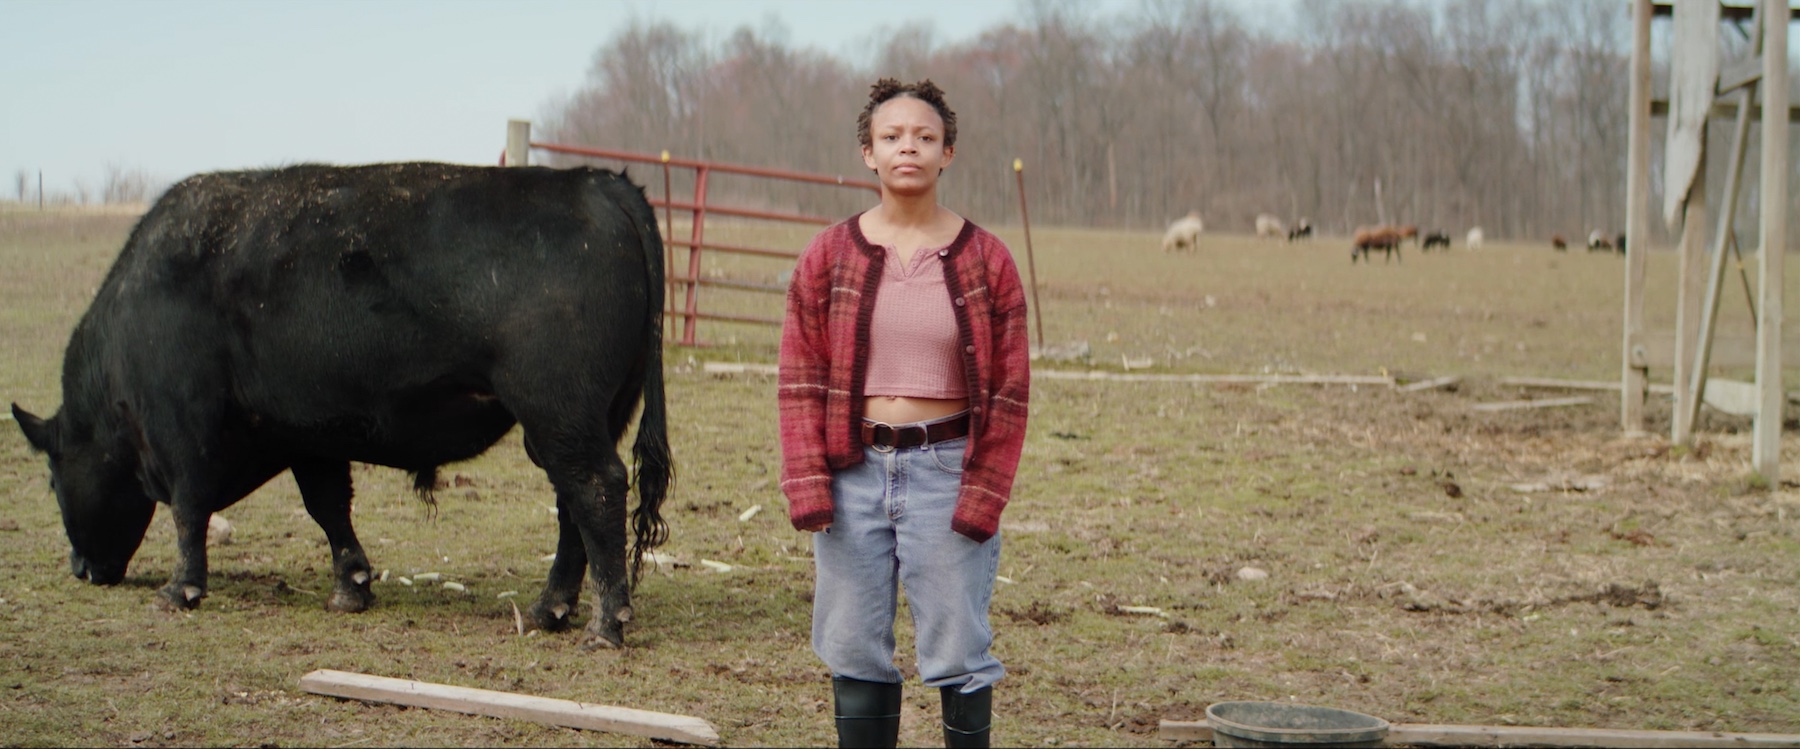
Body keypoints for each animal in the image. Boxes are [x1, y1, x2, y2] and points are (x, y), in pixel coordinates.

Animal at [12, 162, 676, 648]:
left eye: (51, 480)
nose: (79, 568)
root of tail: (599, 180)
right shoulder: (307, 433)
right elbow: (328, 505)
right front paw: (352, 587)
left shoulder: (184, 428)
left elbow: (188, 509)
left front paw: (180, 591)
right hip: (576, 422)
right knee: (573, 507)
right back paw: (547, 610)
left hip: (559, 414)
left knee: (595, 490)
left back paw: (605, 626)